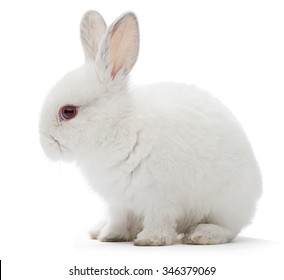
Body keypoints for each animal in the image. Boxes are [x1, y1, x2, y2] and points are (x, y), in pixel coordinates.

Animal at [39, 10, 262, 245]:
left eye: (68, 111)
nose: (44, 143)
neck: (118, 127)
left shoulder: (159, 196)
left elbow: (160, 220)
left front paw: (150, 239)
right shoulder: (119, 201)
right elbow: (119, 220)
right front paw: (110, 236)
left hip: (225, 205)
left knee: (229, 229)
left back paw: (202, 234)